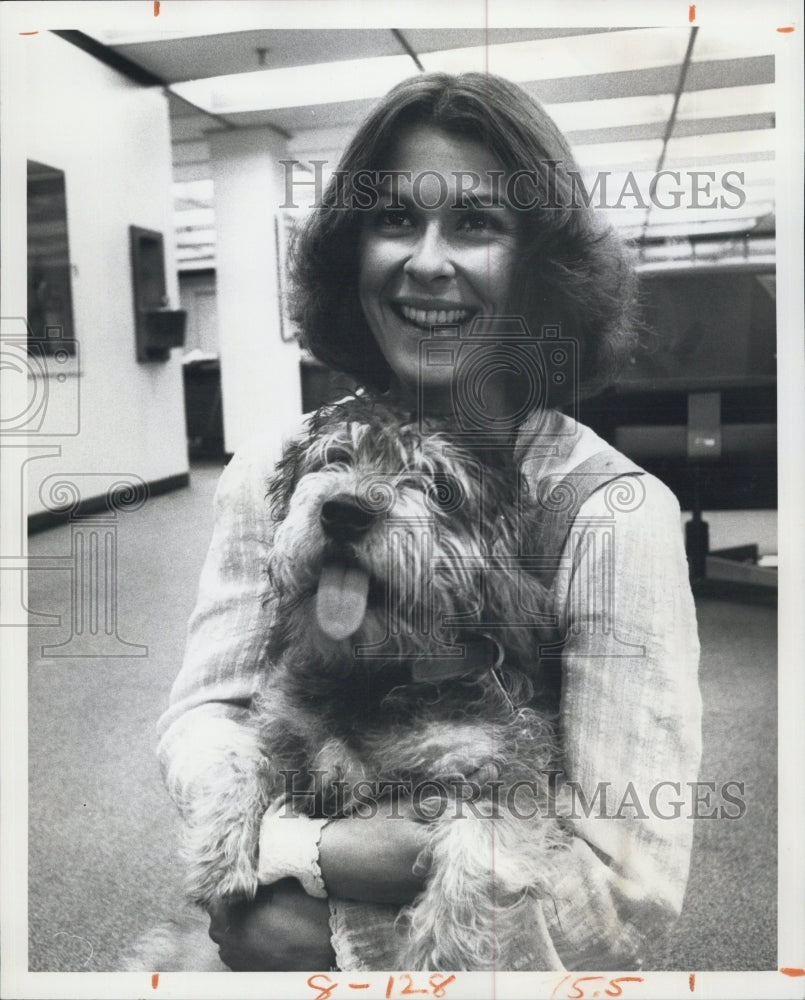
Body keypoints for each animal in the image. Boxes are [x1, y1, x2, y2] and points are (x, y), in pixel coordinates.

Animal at [138, 396, 568, 968]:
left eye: (440, 486)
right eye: (334, 458)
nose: (344, 511)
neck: (376, 673)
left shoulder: (501, 772)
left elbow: (478, 853)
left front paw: (438, 957)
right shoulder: (285, 734)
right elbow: (238, 758)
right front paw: (217, 858)